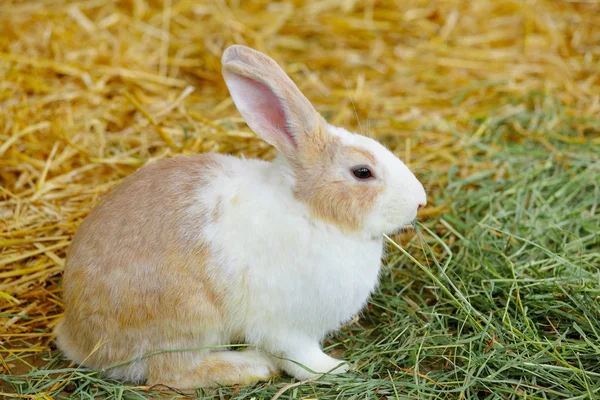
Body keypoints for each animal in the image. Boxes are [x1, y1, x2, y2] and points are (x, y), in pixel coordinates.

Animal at [52, 45, 426, 390]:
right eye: (362, 172)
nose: (420, 201)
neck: (310, 211)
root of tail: (77, 337)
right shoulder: (288, 326)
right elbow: (300, 357)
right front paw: (336, 369)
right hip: (189, 318)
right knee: (171, 374)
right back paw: (251, 366)